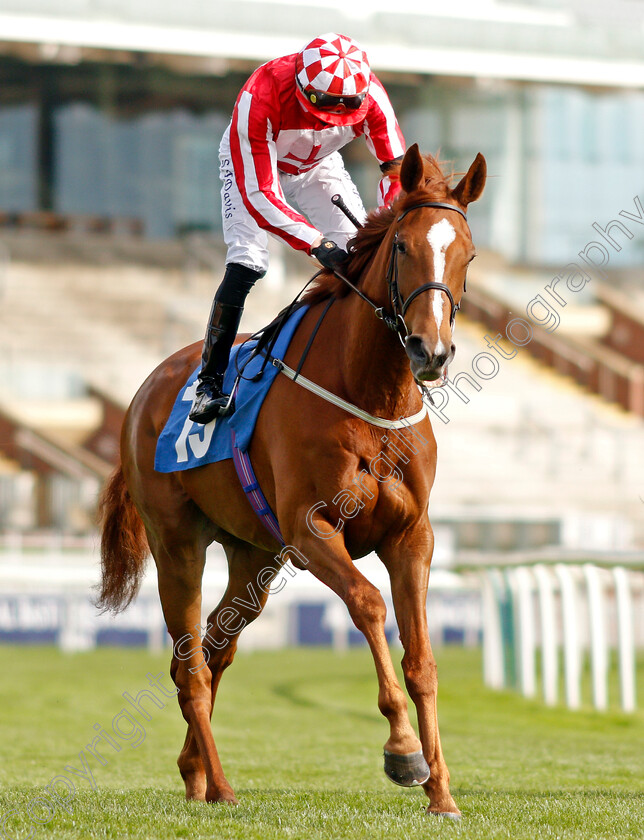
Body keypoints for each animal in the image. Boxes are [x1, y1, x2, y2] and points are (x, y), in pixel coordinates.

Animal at [98, 146, 486, 820]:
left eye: (465, 252)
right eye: (403, 246)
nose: (430, 350)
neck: (368, 394)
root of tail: (145, 389)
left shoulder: (412, 535)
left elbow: (423, 660)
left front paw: (441, 792)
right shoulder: (311, 530)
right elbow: (368, 603)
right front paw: (403, 751)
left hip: (253, 556)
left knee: (214, 650)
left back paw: (195, 774)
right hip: (177, 545)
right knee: (191, 665)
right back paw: (222, 785)